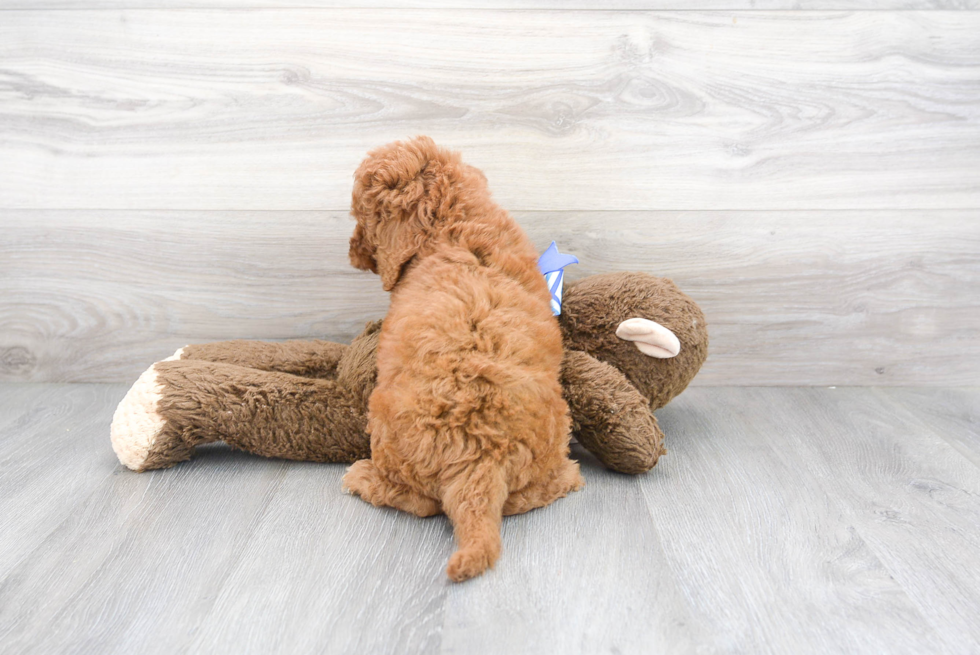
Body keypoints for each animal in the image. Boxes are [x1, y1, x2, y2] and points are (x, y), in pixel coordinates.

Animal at [340, 136, 580, 580]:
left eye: (364, 217)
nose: (353, 252)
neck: (452, 217)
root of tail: (480, 458)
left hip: (383, 424)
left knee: (419, 502)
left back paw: (362, 477)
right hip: (553, 432)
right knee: (526, 497)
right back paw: (566, 477)